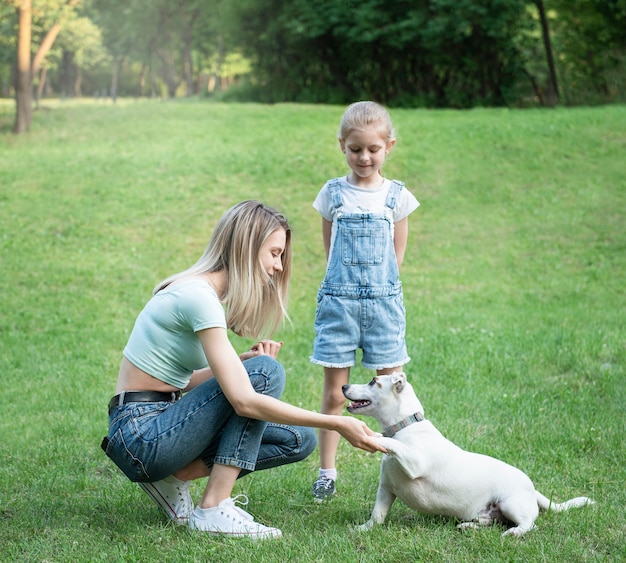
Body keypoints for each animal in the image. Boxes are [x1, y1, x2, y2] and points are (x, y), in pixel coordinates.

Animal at [344, 374, 592, 536]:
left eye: (373, 381)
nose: (344, 386)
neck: (405, 427)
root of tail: (532, 489)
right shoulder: (386, 489)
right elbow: (377, 516)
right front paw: (362, 529)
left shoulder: (416, 464)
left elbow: (391, 443)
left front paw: (374, 437)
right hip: (490, 512)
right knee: (490, 522)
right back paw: (468, 526)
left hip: (511, 505)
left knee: (529, 525)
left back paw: (512, 533)